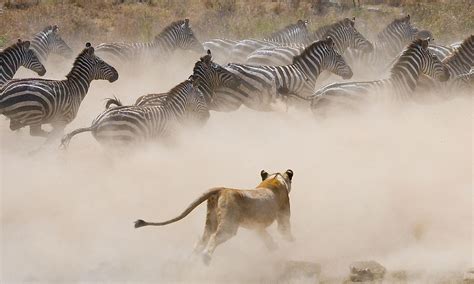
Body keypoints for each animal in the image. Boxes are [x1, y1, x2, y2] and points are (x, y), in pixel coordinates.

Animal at [210, 37, 352, 112]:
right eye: (340, 56)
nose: (351, 73)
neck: (305, 71)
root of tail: (226, 66)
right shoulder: (301, 100)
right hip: (229, 100)